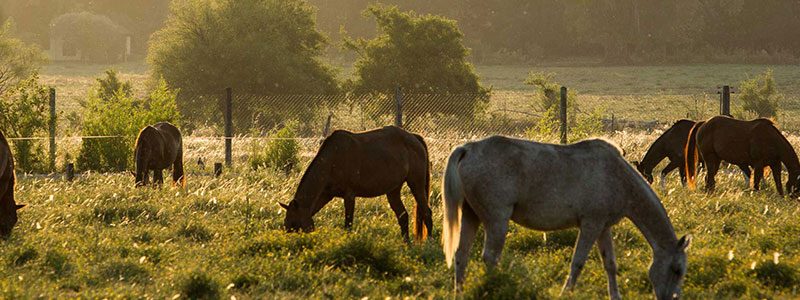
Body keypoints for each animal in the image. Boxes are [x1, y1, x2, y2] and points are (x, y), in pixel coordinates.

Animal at [280, 126, 432, 241]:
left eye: (294, 224)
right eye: (286, 225)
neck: (332, 159)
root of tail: (414, 138)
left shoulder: (349, 196)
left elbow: (348, 224)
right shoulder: (326, 195)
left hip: (416, 185)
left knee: (426, 213)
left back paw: (429, 243)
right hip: (393, 190)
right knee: (403, 216)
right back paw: (406, 243)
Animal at [440, 137, 692, 300]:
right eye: (677, 270)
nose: (672, 298)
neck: (617, 177)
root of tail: (469, 149)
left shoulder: (602, 228)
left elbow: (610, 264)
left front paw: (615, 295)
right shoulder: (590, 225)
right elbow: (578, 262)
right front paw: (566, 292)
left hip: (471, 217)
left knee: (461, 255)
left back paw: (458, 292)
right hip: (496, 221)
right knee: (490, 257)